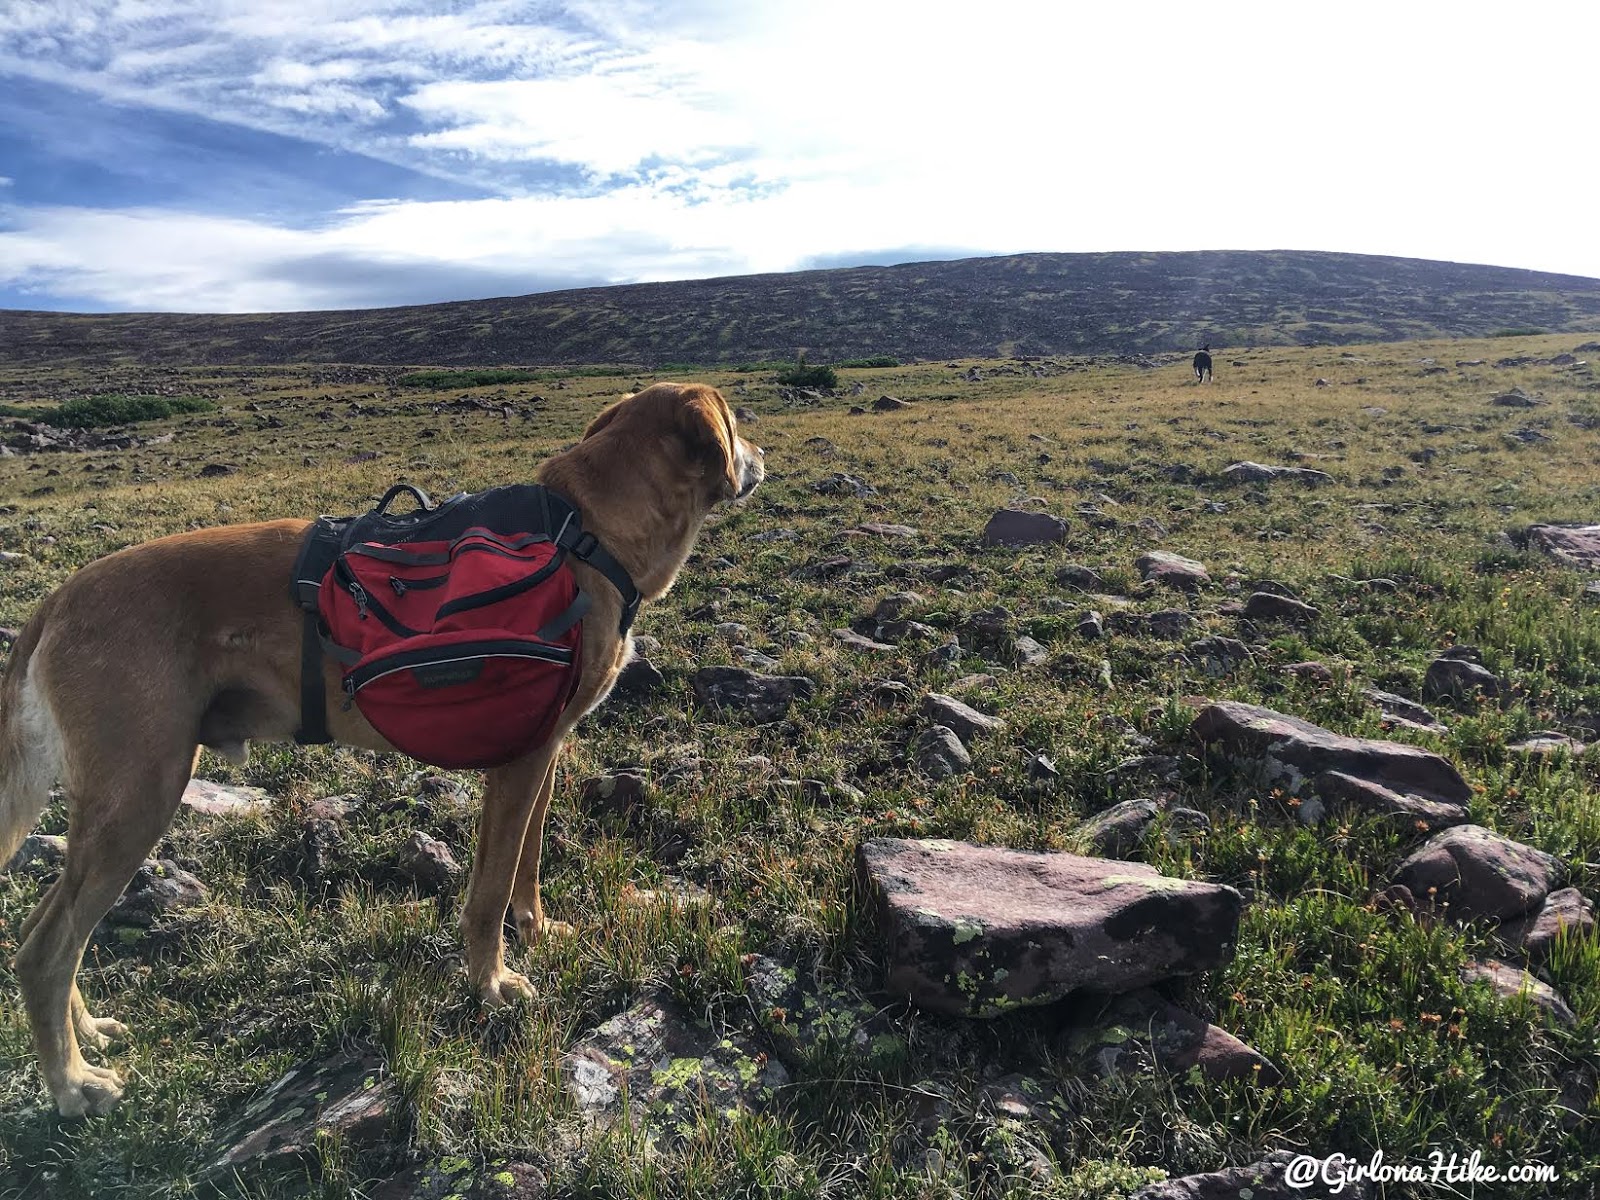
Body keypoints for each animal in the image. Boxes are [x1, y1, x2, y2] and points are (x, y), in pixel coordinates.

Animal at [0, 385, 761, 1120]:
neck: (590, 533)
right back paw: (73, 1085)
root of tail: (57, 598)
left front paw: (538, 930)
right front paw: (492, 982)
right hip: (142, 792)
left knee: (49, 928)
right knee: (44, 949)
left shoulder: (544, 750)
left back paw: (87, 1032)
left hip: (119, 802)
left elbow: (527, 865)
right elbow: (489, 891)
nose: (759, 458)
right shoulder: (518, 761)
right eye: (735, 422)